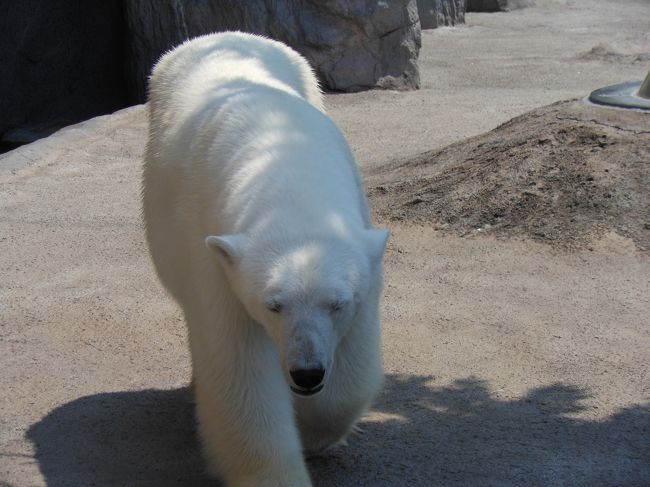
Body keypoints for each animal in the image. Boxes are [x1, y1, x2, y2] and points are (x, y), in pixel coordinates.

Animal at [142, 32, 384, 486]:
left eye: (337, 304)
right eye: (273, 305)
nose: (306, 373)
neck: (288, 175)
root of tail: (221, 34)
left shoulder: (362, 255)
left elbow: (350, 364)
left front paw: (316, 432)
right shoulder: (219, 263)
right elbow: (241, 373)